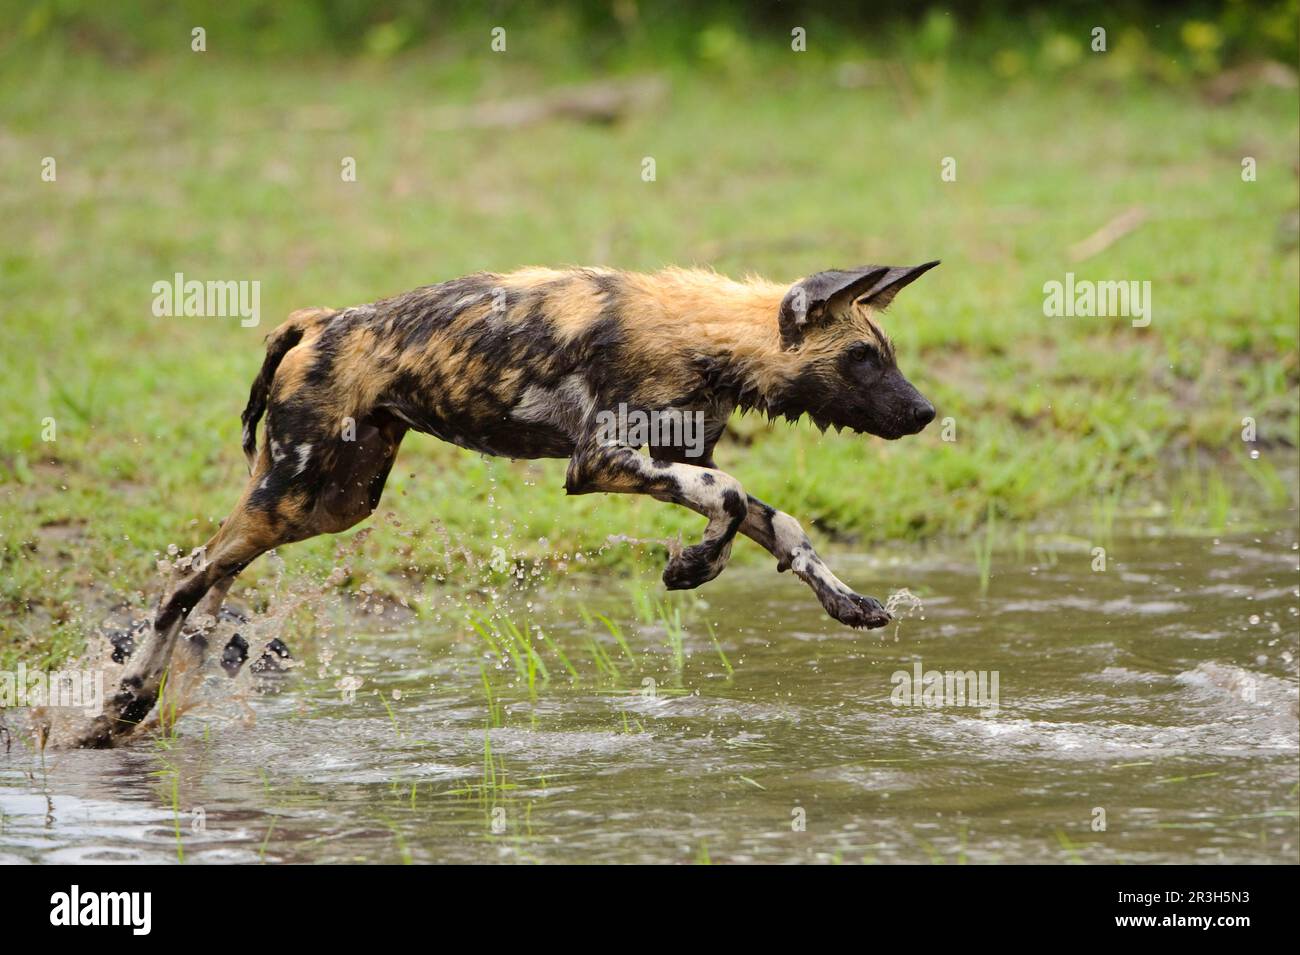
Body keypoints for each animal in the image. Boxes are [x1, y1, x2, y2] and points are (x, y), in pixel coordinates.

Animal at [76, 261, 935, 748]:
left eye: (885, 354)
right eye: (863, 358)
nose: (927, 412)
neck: (707, 336)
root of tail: (322, 319)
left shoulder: (679, 459)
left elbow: (775, 521)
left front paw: (846, 600)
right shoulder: (602, 462)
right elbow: (726, 501)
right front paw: (691, 566)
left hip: (328, 502)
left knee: (212, 580)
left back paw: (151, 696)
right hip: (294, 494)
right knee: (186, 575)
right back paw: (123, 703)